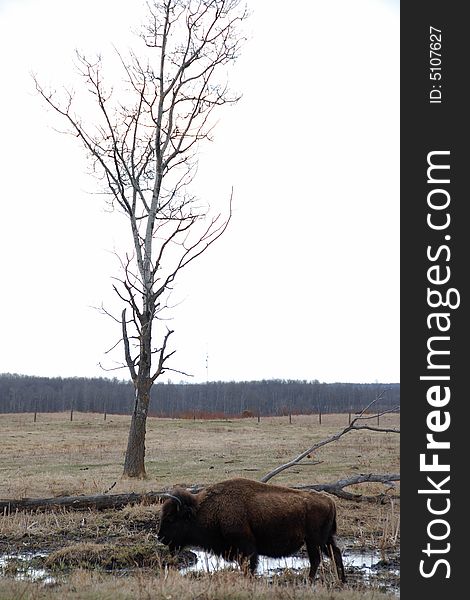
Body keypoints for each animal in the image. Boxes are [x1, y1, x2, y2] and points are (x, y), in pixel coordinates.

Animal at [158, 478, 346, 580]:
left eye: (171, 518)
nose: (160, 537)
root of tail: (330, 501)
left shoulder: (246, 547)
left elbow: (249, 566)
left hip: (314, 541)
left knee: (316, 560)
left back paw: (309, 581)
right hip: (325, 540)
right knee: (335, 554)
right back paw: (341, 581)